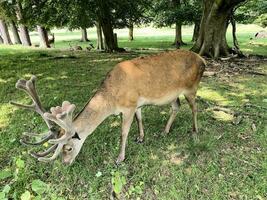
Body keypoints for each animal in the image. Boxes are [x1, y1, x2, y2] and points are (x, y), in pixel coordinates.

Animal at [10, 49, 207, 165]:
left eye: (68, 148)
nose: (65, 163)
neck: (112, 99)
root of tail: (203, 59)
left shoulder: (128, 106)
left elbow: (123, 132)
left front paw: (120, 158)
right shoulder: (136, 103)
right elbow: (140, 119)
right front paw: (141, 138)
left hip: (192, 87)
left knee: (194, 108)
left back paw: (195, 131)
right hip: (173, 94)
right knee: (176, 106)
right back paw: (165, 131)